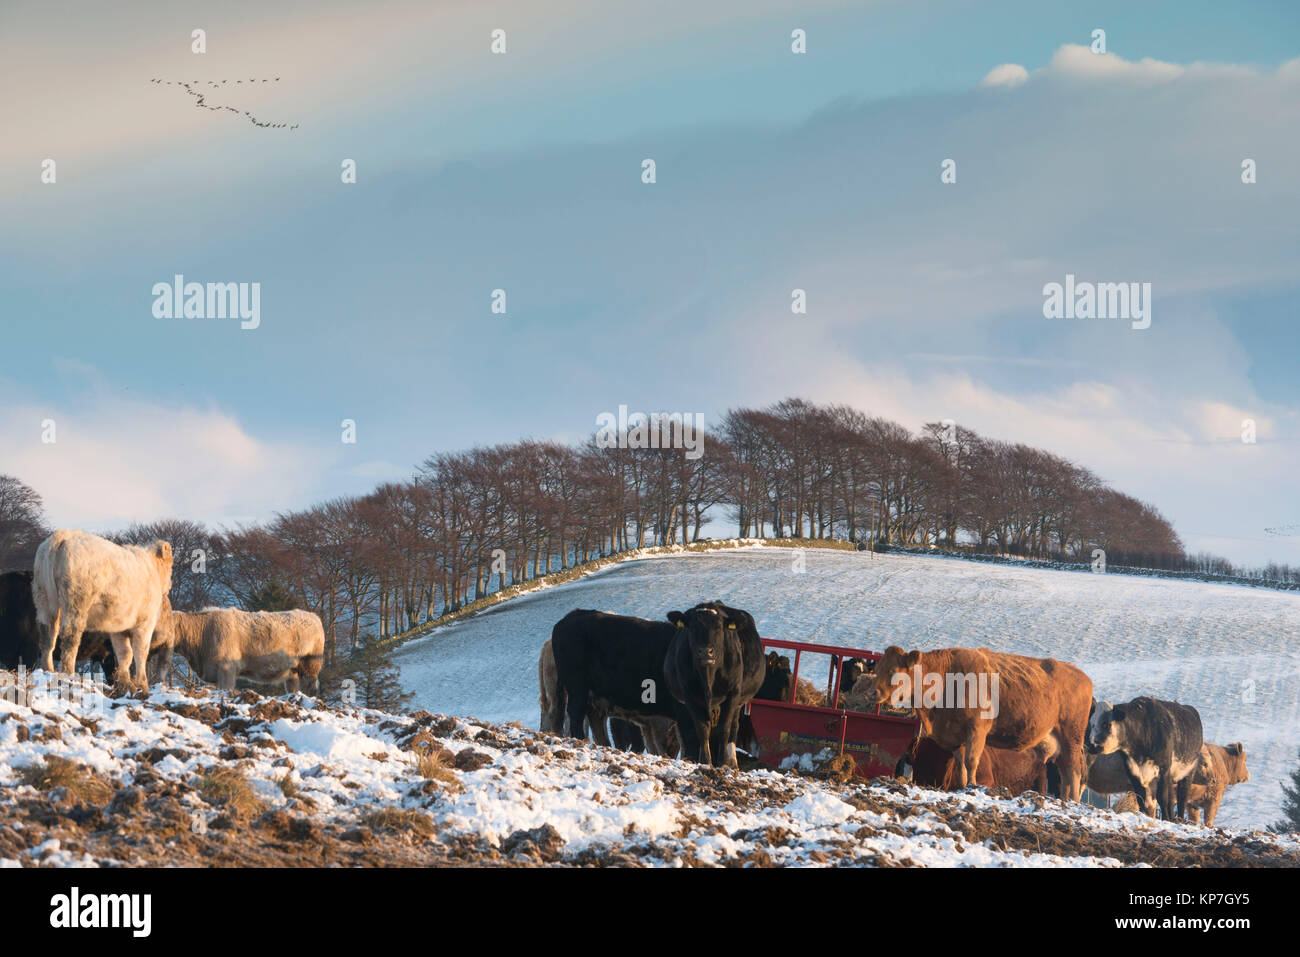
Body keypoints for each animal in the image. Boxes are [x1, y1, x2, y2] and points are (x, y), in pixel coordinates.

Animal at [31, 530, 174, 689]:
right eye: (171, 565)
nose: (170, 585)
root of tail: (62, 535)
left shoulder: (119, 627)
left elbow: (124, 653)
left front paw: (125, 682)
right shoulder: (145, 623)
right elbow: (140, 652)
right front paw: (142, 684)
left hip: (43, 598)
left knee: (47, 635)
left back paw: (47, 668)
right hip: (76, 602)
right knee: (70, 638)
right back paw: (69, 673)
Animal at [157, 598, 325, 693]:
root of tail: (312, 616)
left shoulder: (227, 669)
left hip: (310, 664)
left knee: (310, 686)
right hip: (293, 671)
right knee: (293, 687)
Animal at [663, 601, 765, 769]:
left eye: (718, 627)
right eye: (692, 627)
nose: (705, 651)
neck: (708, 676)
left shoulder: (732, 694)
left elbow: (724, 729)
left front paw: (722, 762)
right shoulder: (689, 696)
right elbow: (702, 729)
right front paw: (705, 761)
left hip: (738, 702)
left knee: (733, 728)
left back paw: (732, 762)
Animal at [864, 645, 1093, 800]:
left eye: (893, 671)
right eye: (878, 668)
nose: (871, 692)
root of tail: (1082, 676)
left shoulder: (977, 729)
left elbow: (971, 760)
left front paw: (972, 786)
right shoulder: (956, 735)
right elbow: (960, 764)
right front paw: (962, 785)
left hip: (1072, 737)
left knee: (1074, 771)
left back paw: (1073, 801)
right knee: (1065, 772)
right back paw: (1064, 799)